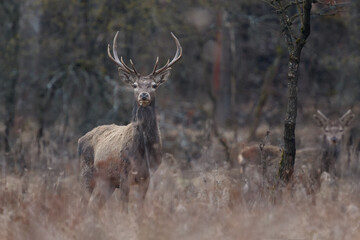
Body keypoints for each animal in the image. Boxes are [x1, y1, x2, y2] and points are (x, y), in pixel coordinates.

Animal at [77, 31, 181, 210]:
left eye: (154, 85)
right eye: (134, 85)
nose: (144, 95)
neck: (142, 149)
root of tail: (80, 139)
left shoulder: (147, 175)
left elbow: (139, 205)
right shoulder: (124, 172)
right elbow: (124, 205)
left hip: (107, 182)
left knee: (96, 204)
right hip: (87, 173)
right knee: (85, 202)